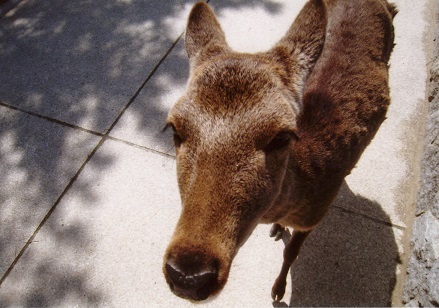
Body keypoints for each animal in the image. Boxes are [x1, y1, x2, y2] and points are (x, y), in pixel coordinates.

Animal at [162, 0, 398, 302]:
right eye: (174, 128)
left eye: (282, 136)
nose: (188, 274)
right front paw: (277, 231)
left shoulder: (314, 214)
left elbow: (291, 253)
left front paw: (278, 290)